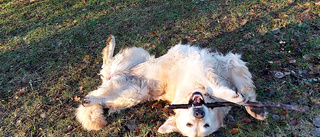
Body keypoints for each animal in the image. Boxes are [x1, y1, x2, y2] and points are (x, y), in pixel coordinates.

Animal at [75, 35, 268, 136]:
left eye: (205, 125)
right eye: (189, 124)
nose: (199, 113)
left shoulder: (231, 63)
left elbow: (246, 89)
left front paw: (255, 109)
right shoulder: (203, 69)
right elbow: (221, 90)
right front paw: (234, 97)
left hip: (131, 92)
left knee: (105, 79)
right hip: (131, 73)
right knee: (106, 68)